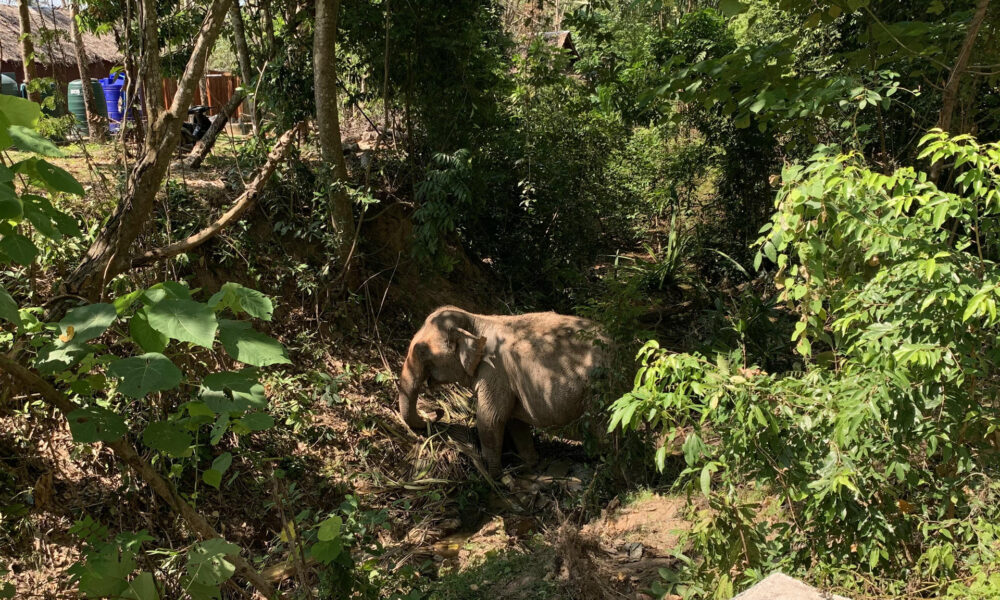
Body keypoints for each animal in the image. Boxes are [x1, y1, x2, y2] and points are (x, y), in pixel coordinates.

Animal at [394, 308, 604, 476]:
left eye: (421, 351)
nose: (437, 412)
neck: (477, 320)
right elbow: (514, 420)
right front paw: (529, 465)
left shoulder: (494, 371)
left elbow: (490, 419)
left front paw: (491, 474)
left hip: (597, 396)